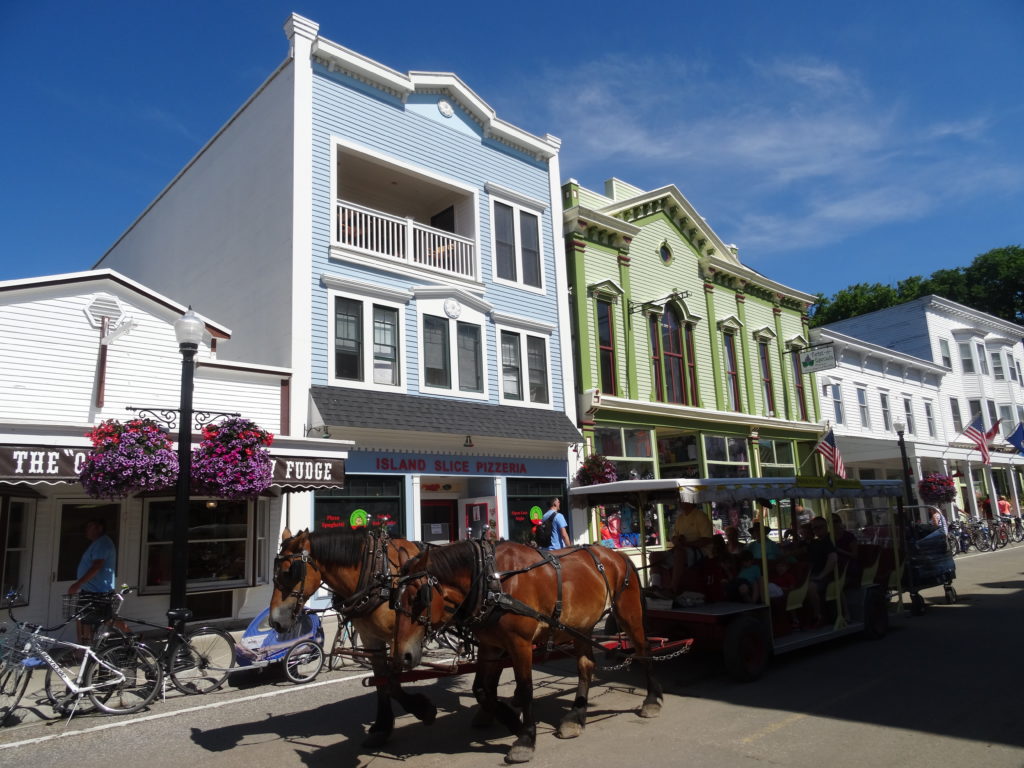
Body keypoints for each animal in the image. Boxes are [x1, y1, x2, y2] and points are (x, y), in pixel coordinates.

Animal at [268, 528, 436, 745]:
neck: (379, 575)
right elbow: (382, 682)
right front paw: (383, 727)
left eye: (290, 572)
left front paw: (423, 709)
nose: (274, 621)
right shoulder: (370, 638)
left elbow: (391, 682)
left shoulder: (399, 640)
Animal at [387, 536, 659, 765]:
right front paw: (511, 722)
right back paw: (575, 717)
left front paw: (526, 738)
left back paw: (652, 700)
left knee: (644, 649)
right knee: (586, 665)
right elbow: (481, 689)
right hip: (580, 625)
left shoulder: (520, 643)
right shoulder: (491, 645)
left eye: (419, 597)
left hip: (628, 611)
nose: (402, 656)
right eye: (393, 599)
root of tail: (616, 555)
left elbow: (526, 688)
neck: (492, 581)